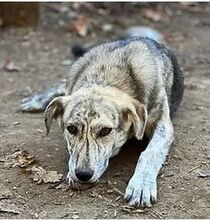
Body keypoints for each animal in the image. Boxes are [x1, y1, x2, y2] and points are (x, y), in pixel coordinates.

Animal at [44, 37, 184, 207]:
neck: (106, 76)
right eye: (71, 128)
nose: (83, 175)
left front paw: (141, 184)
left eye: (105, 130)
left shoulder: (163, 126)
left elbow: (150, 153)